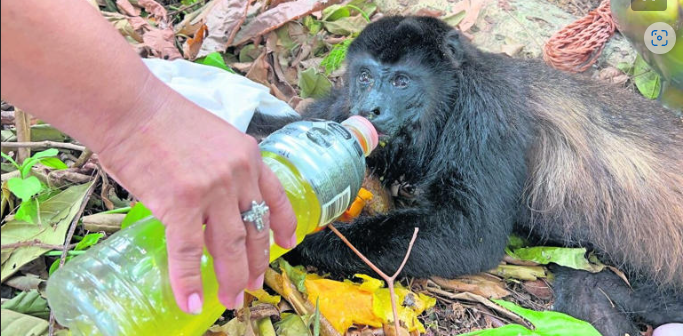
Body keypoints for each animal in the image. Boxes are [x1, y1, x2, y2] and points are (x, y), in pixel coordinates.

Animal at [248, 15, 683, 334]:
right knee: (584, 292)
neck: (454, 92)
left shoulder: (487, 112)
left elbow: (471, 235)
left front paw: (296, 237)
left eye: (401, 81)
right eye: (366, 76)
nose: (369, 108)